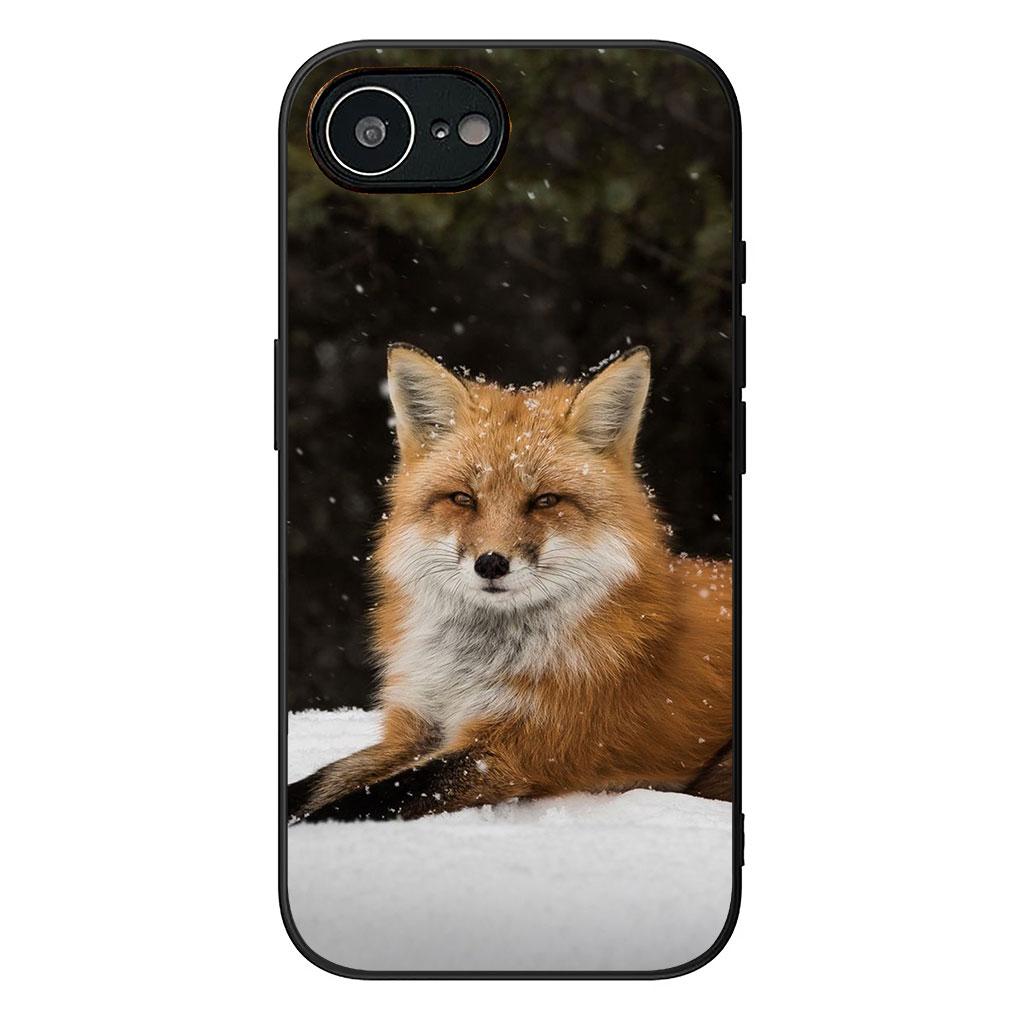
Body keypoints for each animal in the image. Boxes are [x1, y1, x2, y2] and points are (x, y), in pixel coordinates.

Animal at [288, 343, 733, 823]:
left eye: (545, 501)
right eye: (463, 499)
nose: (491, 564)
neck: (470, 667)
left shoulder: (512, 750)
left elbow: (371, 798)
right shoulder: (416, 727)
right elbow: (316, 784)